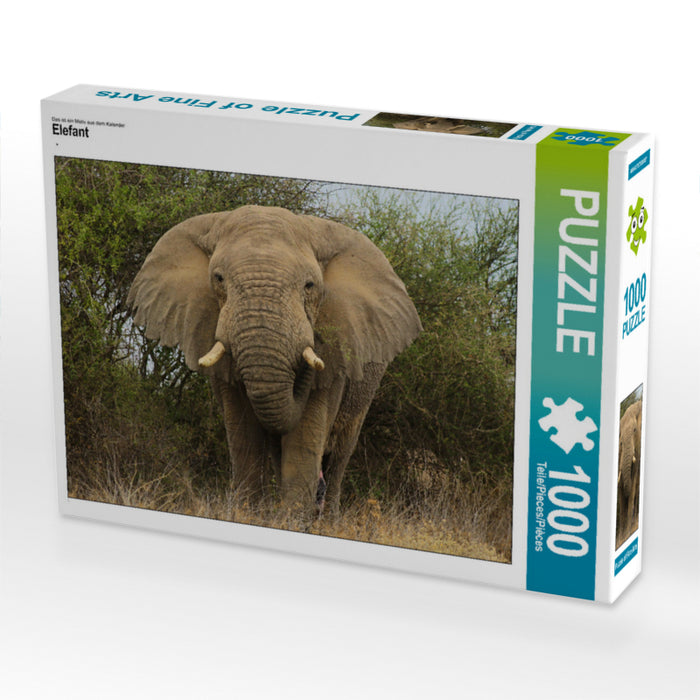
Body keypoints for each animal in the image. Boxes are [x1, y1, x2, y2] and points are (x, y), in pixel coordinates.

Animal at [127, 205, 422, 515]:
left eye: (309, 285)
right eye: (218, 278)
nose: (312, 336)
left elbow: (305, 437)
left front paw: (291, 520)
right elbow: (244, 434)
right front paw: (249, 514)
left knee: (339, 455)